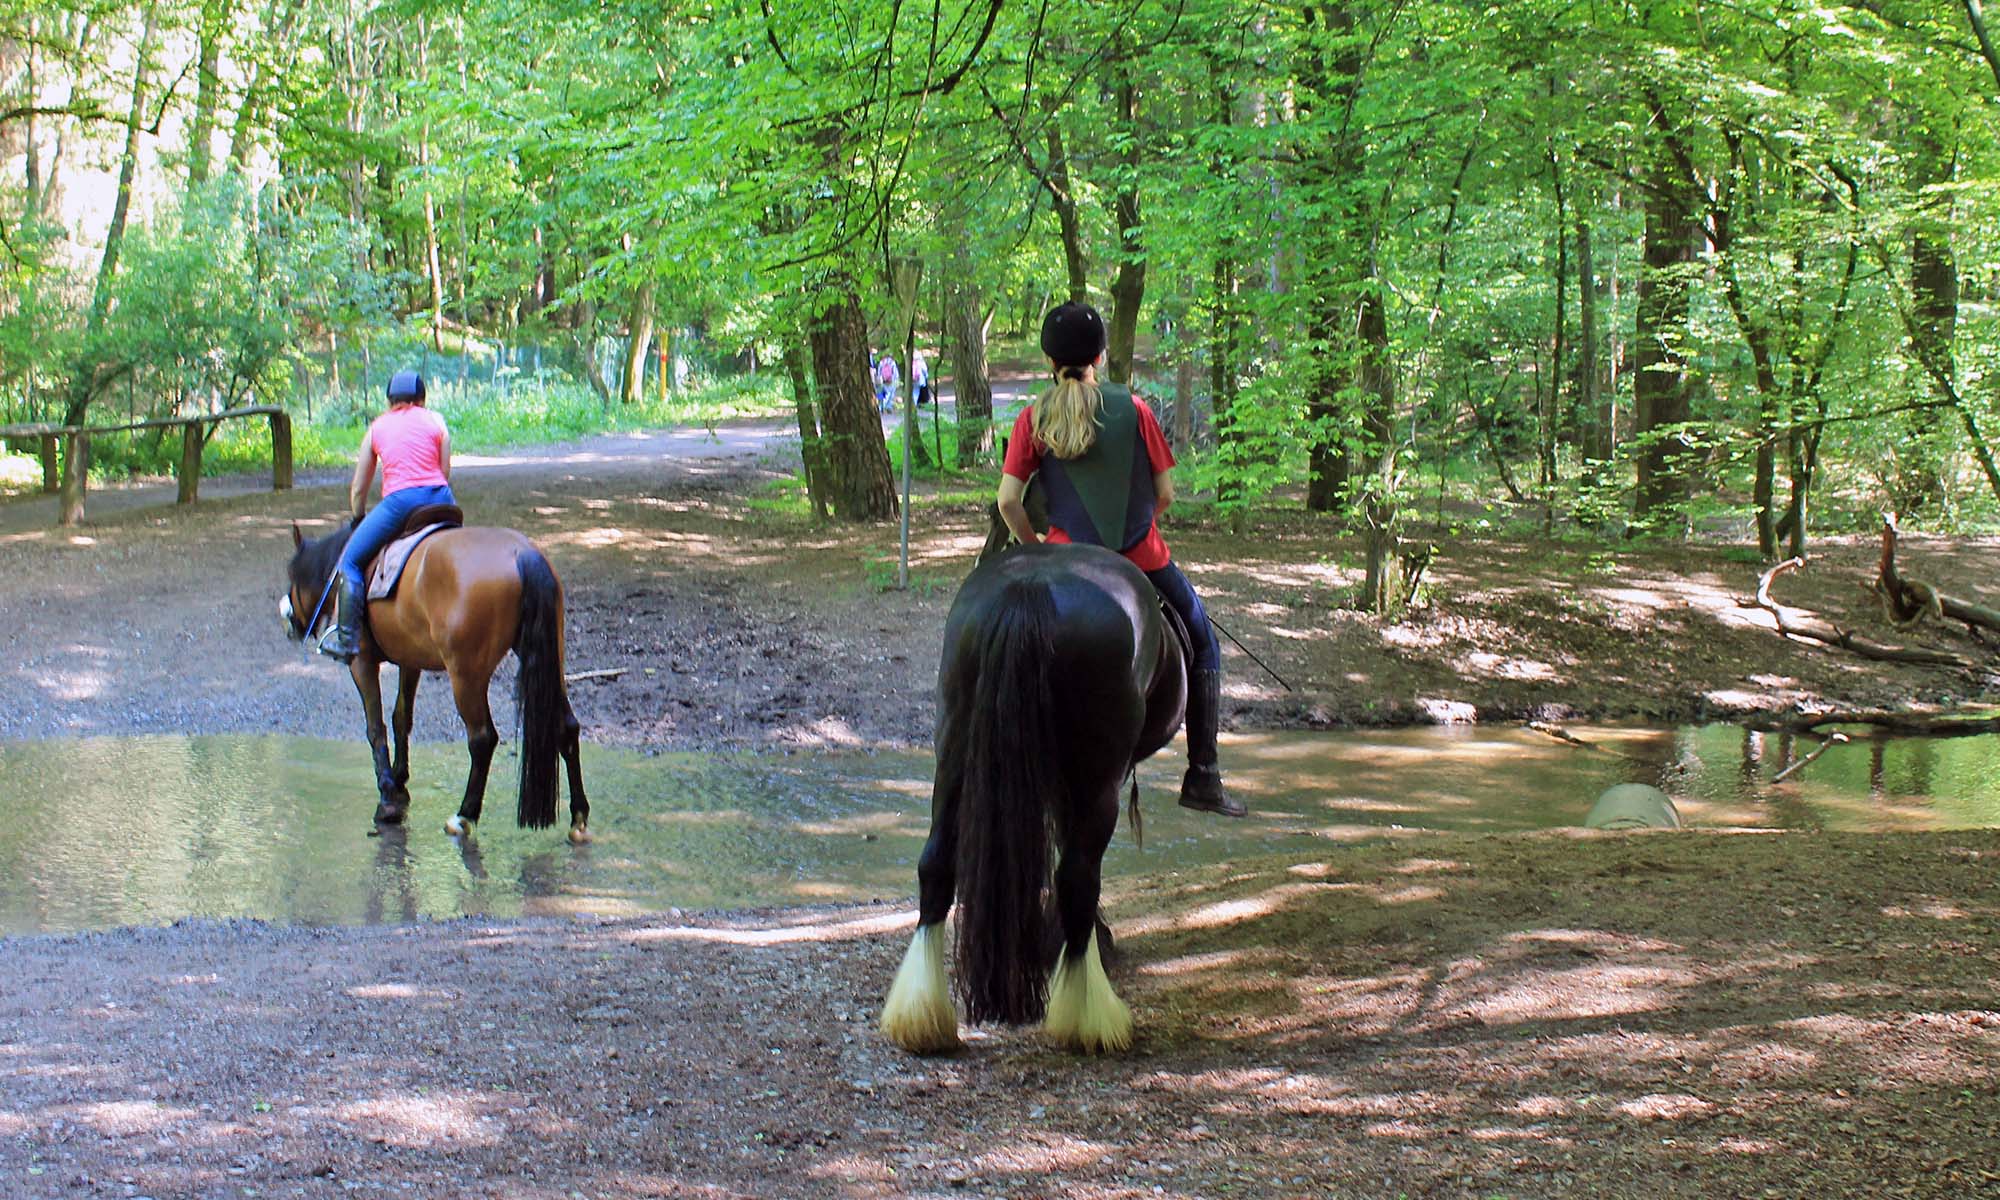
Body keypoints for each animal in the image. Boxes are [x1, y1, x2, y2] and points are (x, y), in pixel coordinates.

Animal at [278, 516, 584, 844]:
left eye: (292, 574)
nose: (290, 622)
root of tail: (521, 553)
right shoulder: (409, 661)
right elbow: (401, 718)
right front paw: (399, 780)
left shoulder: (361, 663)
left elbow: (375, 727)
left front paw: (388, 797)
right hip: (545, 661)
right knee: (567, 727)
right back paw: (579, 818)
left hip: (466, 676)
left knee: (482, 739)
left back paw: (464, 816)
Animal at [880, 540, 1184, 1056]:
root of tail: (1030, 587)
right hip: (1098, 778)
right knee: (1079, 876)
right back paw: (1087, 1015)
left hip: (956, 753)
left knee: (936, 865)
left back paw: (920, 1014)